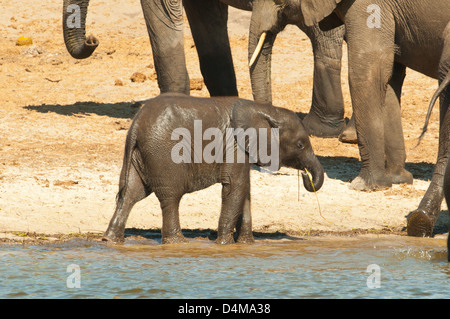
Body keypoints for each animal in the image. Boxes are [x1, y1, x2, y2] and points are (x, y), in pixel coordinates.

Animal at [103, 92, 324, 245]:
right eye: (300, 145)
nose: (305, 176)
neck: (267, 110)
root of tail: (136, 124)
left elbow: (244, 191)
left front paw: (246, 244)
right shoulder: (234, 145)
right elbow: (235, 188)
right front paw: (223, 244)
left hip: (139, 154)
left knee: (131, 194)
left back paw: (110, 240)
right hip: (163, 153)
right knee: (170, 197)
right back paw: (178, 242)